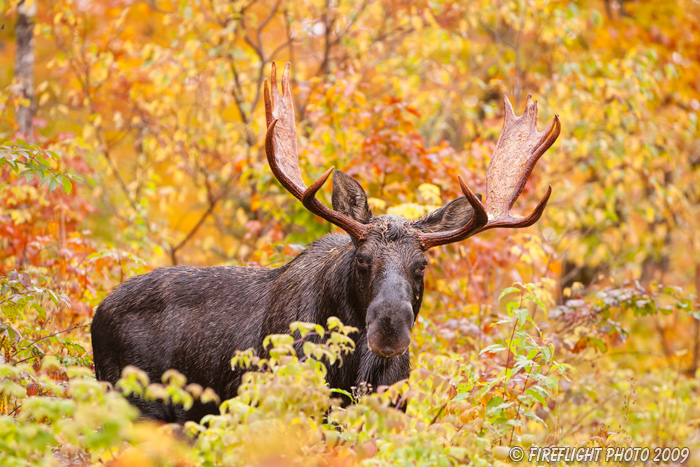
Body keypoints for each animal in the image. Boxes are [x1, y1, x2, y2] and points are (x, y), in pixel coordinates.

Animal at [93, 63, 560, 424]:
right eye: (362, 259)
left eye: (422, 265)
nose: (390, 326)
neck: (354, 373)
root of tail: (97, 313)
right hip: (132, 398)